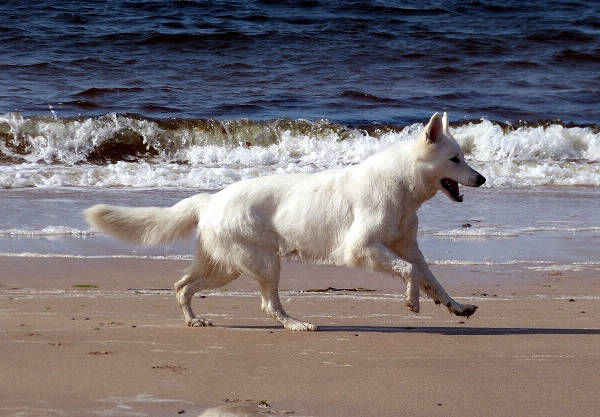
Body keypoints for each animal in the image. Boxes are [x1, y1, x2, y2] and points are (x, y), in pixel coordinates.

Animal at [85, 112, 488, 330]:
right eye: (455, 159)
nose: (482, 179)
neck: (402, 183)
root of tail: (211, 200)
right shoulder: (361, 249)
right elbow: (410, 273)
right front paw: (413, 302)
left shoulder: (407, 246)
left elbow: (429, 275)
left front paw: (454, 305)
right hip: (264, 264)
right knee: (267, 305)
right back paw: (296, 324)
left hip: (227, 268)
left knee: (181, 285)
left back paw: (193, 320)